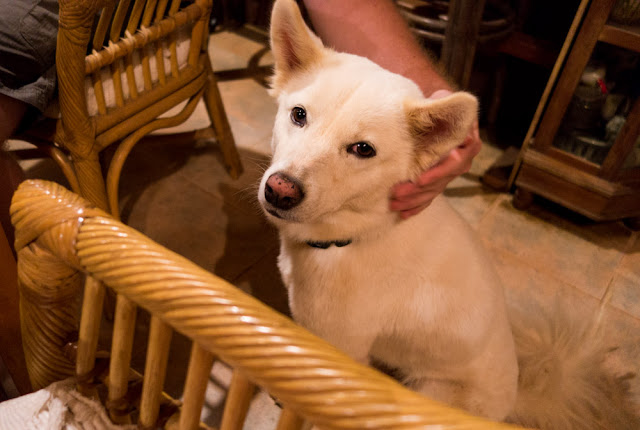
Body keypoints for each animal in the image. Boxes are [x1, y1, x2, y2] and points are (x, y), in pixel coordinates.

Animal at [258, 0, 639, 427]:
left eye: (362, 149)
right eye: (299, 115)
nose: (280, 190)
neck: (357, 235)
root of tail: (513, 397)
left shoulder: (340, 352)